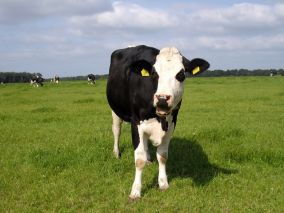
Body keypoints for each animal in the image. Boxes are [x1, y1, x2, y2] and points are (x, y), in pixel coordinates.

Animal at [105, 45, 210, 200]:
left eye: (181, 74)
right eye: (154, 74)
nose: (162, 98)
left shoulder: (171, 125)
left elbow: (162, 156)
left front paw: (163, 183)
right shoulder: (136, 124)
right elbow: (139, 160)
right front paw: (135, 191)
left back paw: (148, 158)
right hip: (115, 110)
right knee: (116, 130)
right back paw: (116, 153)